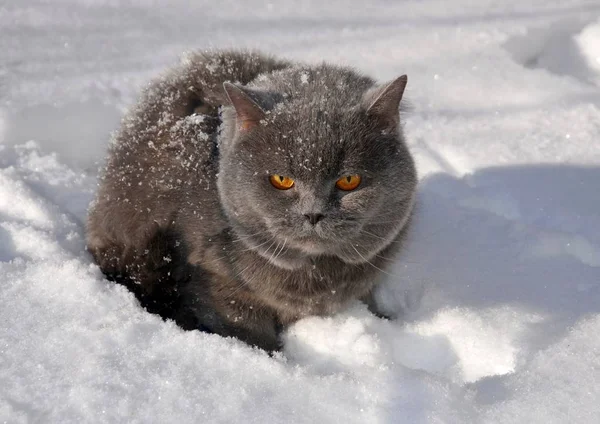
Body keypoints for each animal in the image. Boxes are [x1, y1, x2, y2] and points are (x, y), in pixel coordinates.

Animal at [88, 50, 418, 352]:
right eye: (282, 180)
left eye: (349, 181)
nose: (313, 214)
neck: (315, 276)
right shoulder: (222, 287)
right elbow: (251, 335)